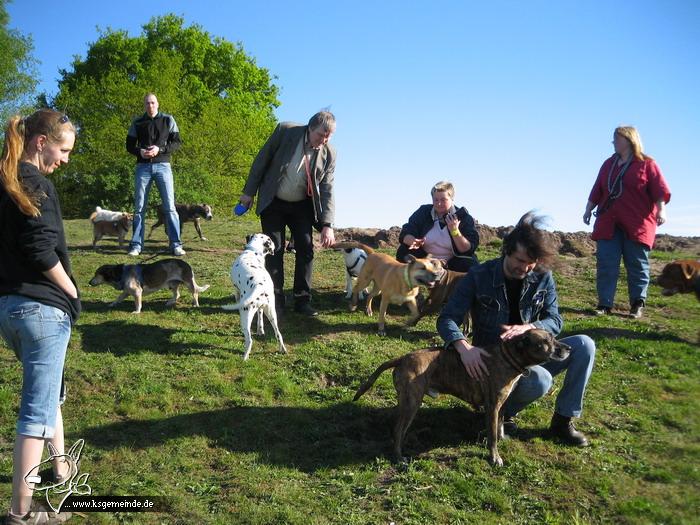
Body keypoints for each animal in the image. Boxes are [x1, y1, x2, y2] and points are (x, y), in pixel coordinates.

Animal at [352, 330, 572, 464]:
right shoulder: (492, 406)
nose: (569, 348)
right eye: (547, 341)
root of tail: (403, 358)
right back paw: (399, 457)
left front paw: (502, 438)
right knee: (398, 431)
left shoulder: (501, 405)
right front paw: (494, 457)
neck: (508, 357)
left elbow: (498, 428)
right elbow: (492, 436)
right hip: (411, 403)